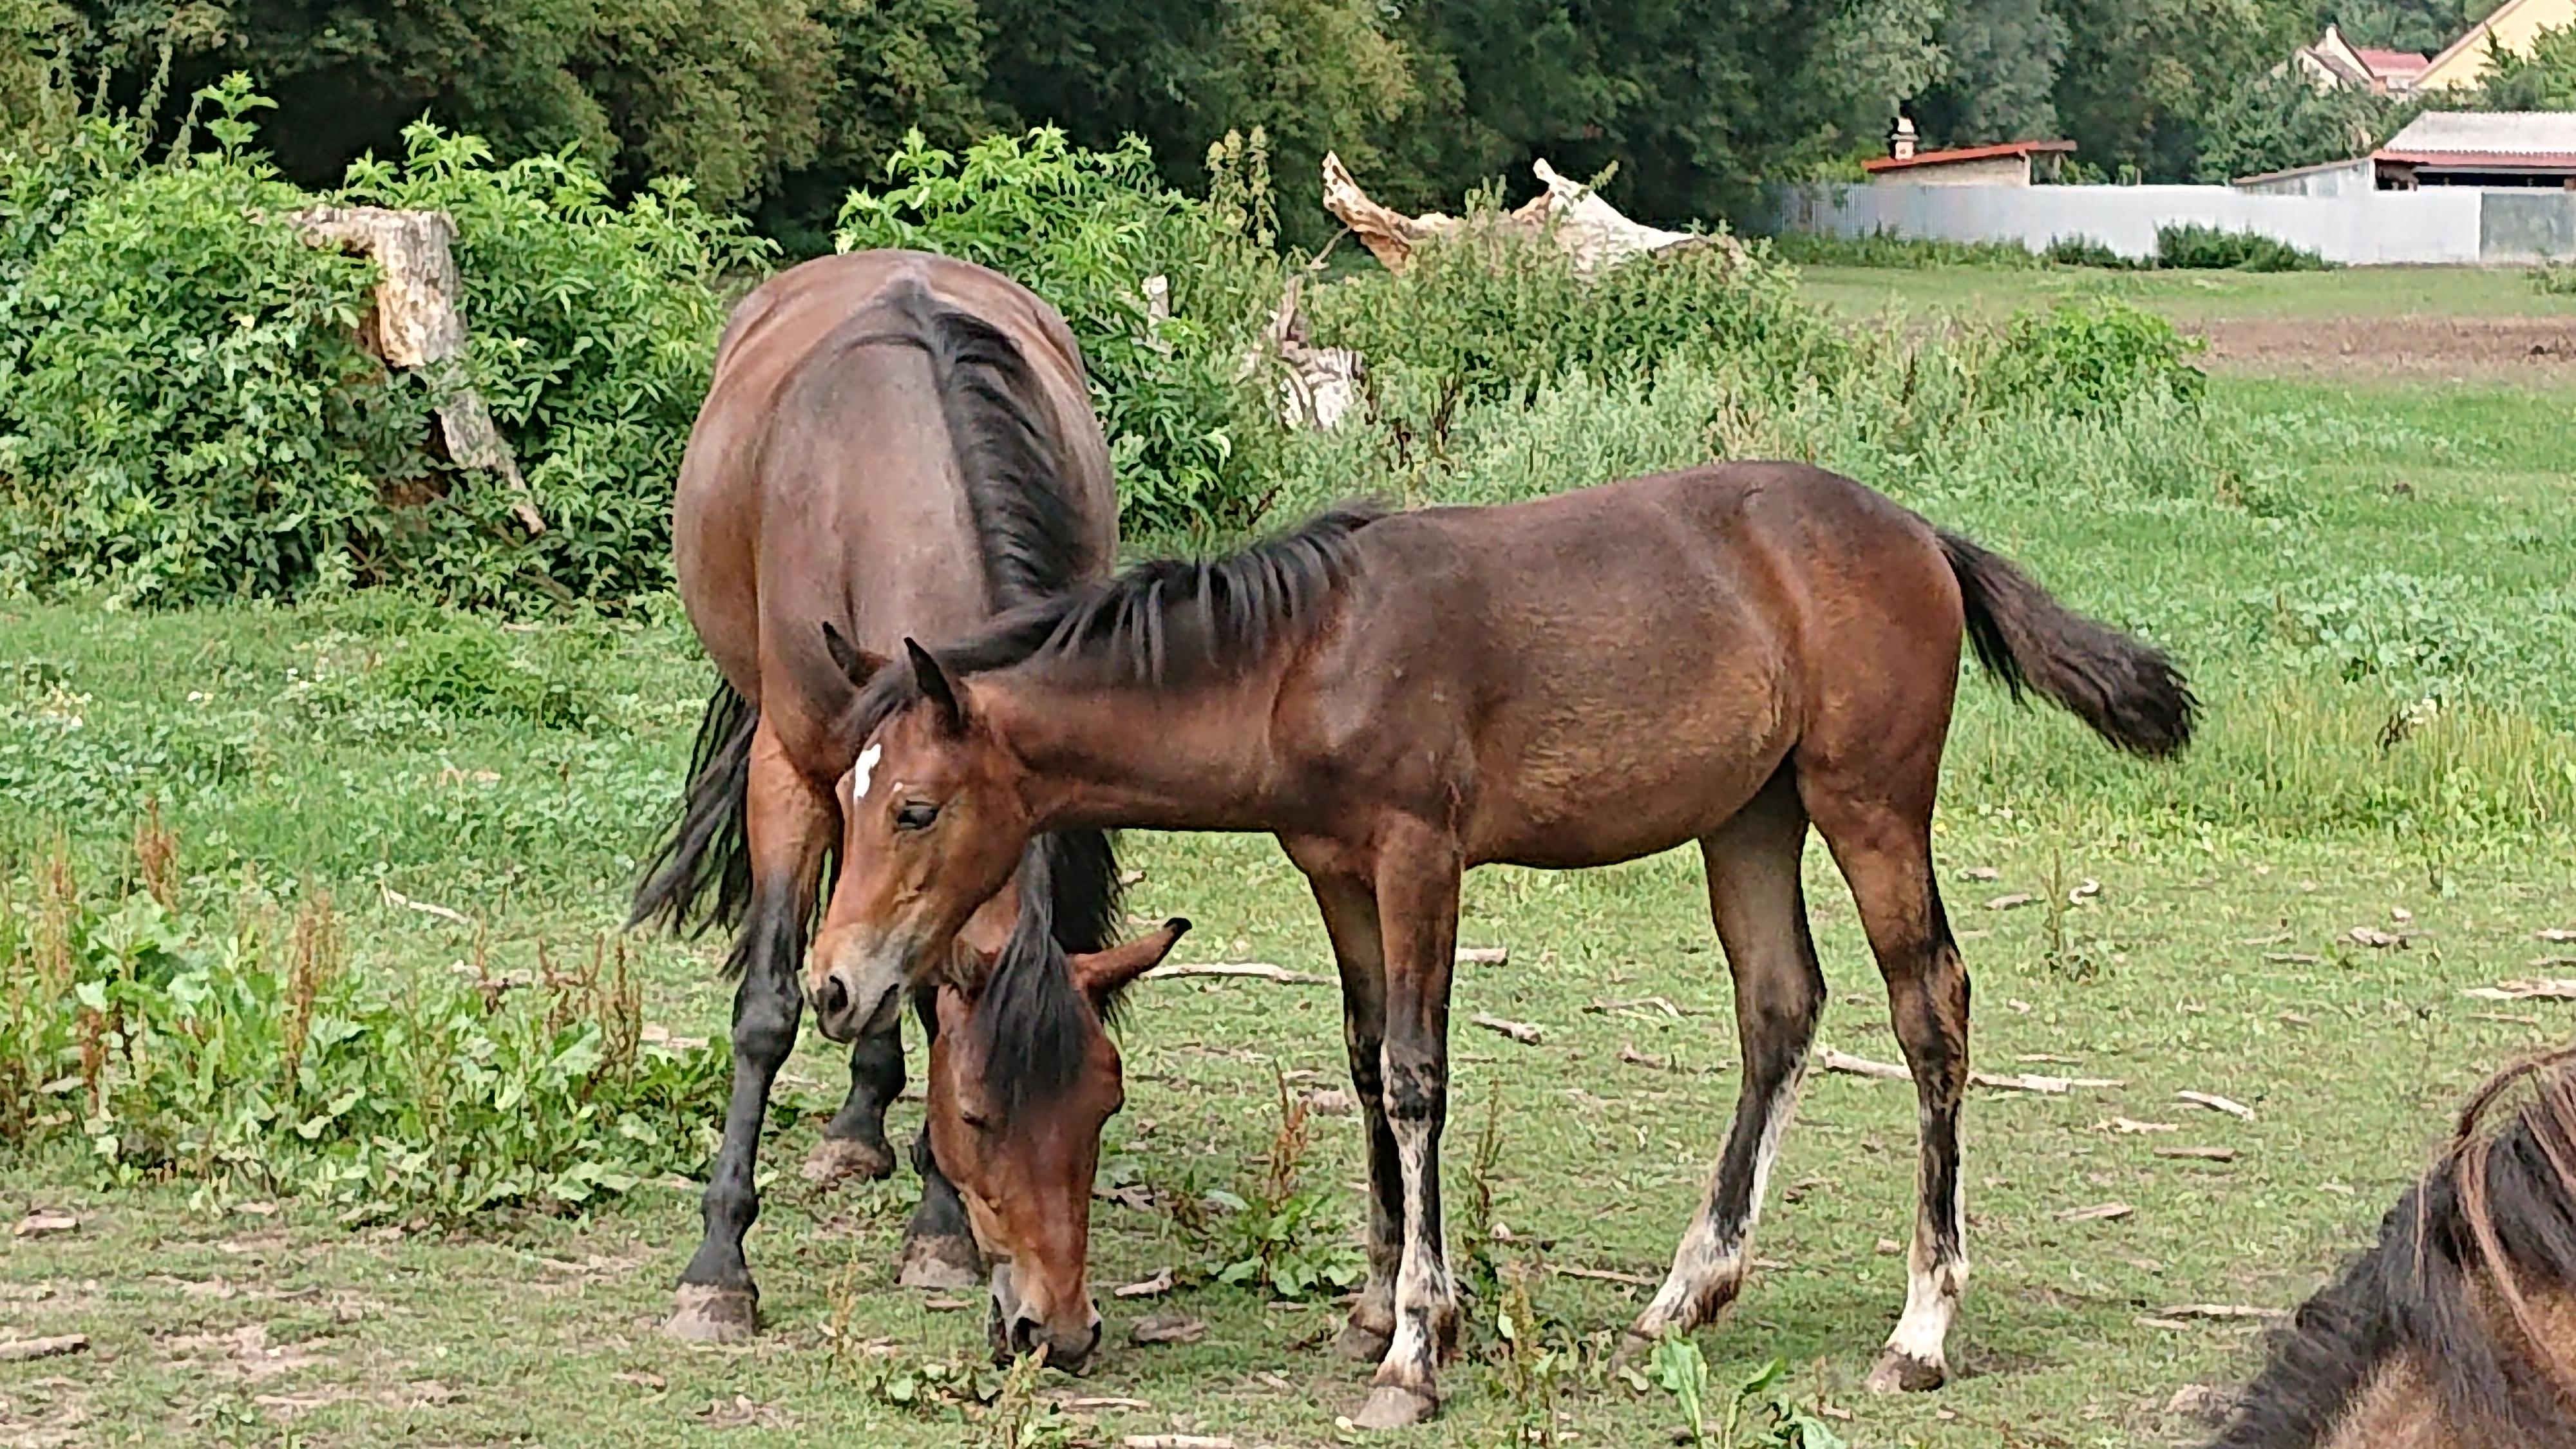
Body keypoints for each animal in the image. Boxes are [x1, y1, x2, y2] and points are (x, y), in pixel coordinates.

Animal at [628, 248, 1134, 1359]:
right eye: (979, 1115)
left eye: (1103, 1110)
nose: (1053, 1328)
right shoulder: (790, 771)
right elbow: (767, 1011)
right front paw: (718, 1267)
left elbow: (932, 985)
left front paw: (937, 1229)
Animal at [808, 461, 2196, 1426]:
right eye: (842, 794)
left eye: (914, 807)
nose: (834, 985)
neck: (1303, 654)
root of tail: (1918, 536)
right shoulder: (1335, 873)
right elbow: (1364, 1063)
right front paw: (1371, 1310)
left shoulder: (1420, 857)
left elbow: (1417, 1080)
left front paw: (1417, 1349)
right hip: (1751, 816)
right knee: (1779, 1008)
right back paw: (1681, 1300)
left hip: (1870, 805)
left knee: (1930, 1013)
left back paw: (1917, 1332)